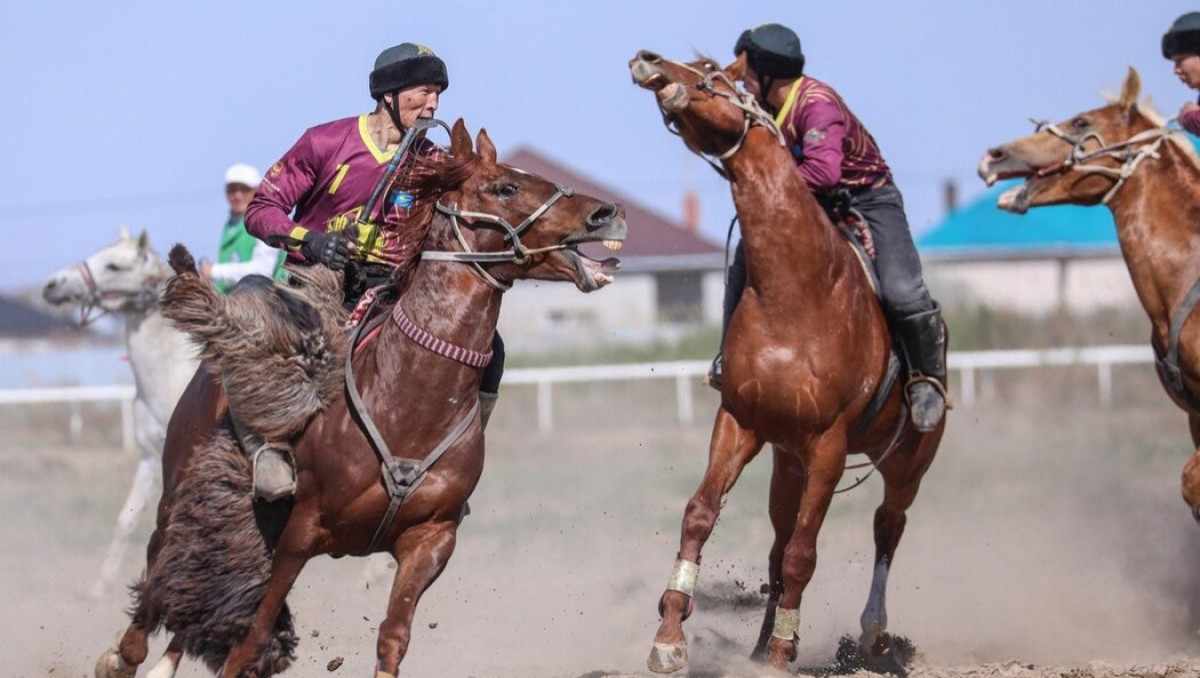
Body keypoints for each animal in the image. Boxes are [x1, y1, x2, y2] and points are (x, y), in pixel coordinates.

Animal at [41, 226, 198, 597]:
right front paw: (101, 585)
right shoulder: (150, 457)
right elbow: (125, 520)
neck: (173, 375)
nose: (53, 285)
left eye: (114, 265)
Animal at [93, 121, 628, 676]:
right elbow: (251, 635)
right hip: (178, 485)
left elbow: (393, 637)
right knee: (161, 561)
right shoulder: (300, 532)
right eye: (506, 187)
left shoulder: (431, 540)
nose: (606, 213)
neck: (408, 402)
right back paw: (124, 653)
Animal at [628, 51, 945, 672]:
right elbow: (702, 514)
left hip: (906, 464)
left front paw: (780, 654)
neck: (797, 291)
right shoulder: (740, 422)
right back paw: (759, 644)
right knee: (779, 543)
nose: (648, 59)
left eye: (711, 70)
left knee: (886, 527)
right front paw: (670, 637)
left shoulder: (829, 445)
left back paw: (871, 634)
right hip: (786, 462)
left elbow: (804, 553)